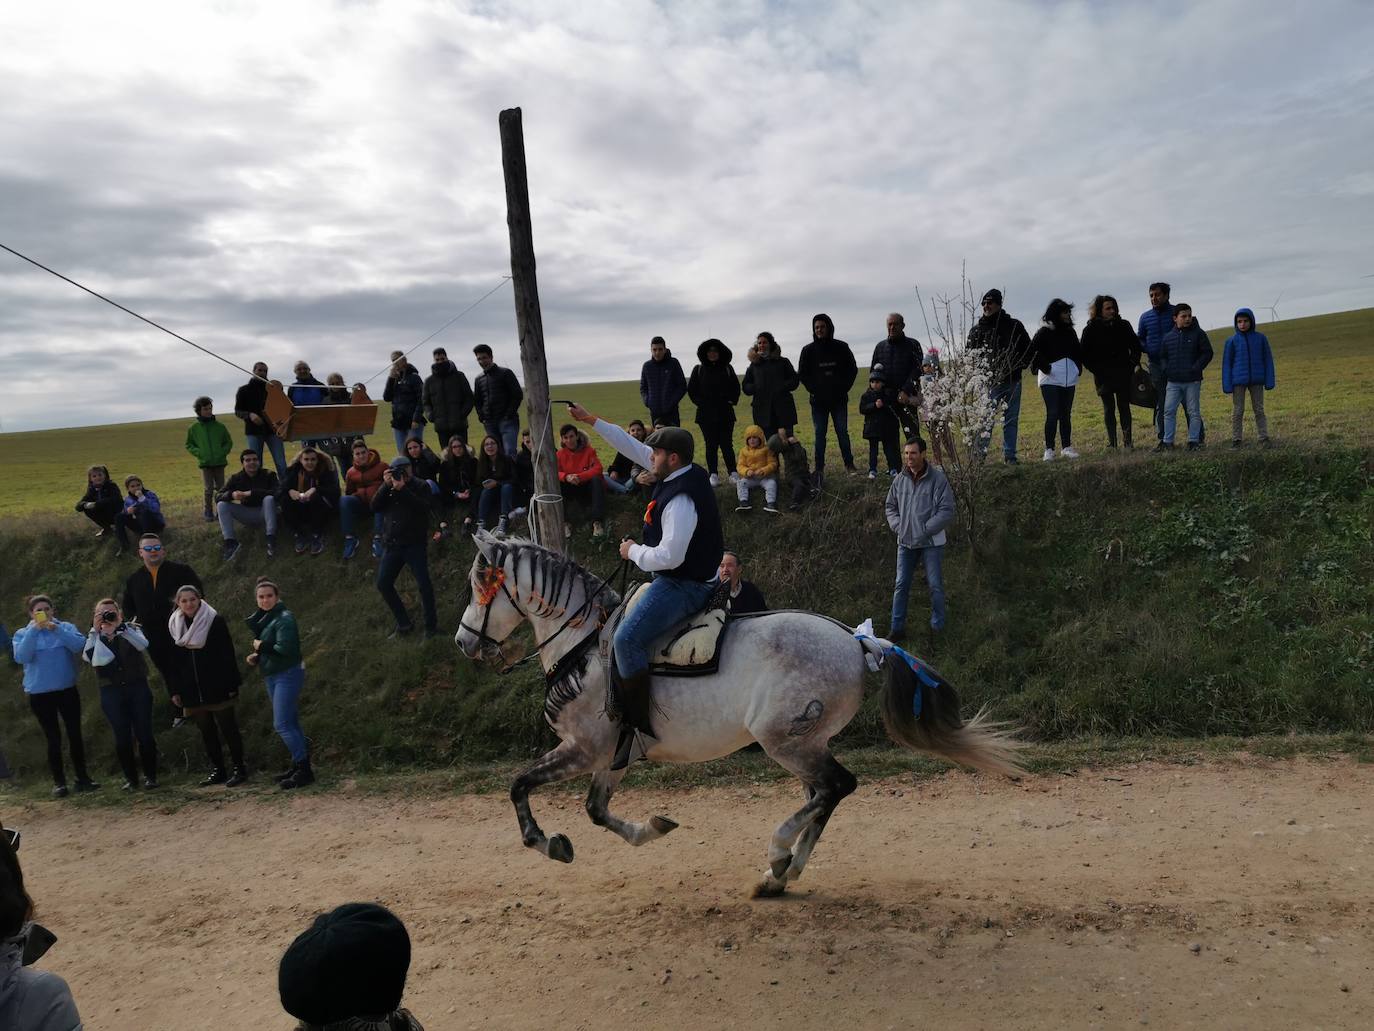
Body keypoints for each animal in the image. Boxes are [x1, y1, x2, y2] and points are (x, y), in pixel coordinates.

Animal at [456, 533, 1027, 896]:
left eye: (480, 586)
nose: (464, 642)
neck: (584, 645)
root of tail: (858, 641)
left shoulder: (582, 748)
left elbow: (519, 785)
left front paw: (546, 842)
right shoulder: (611, 756)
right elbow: (597, 810)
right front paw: (652, 828)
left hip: (785, 740)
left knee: (837, 787)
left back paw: (778, 853)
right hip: (805, 743)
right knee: (824, 796)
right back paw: (782, 873)